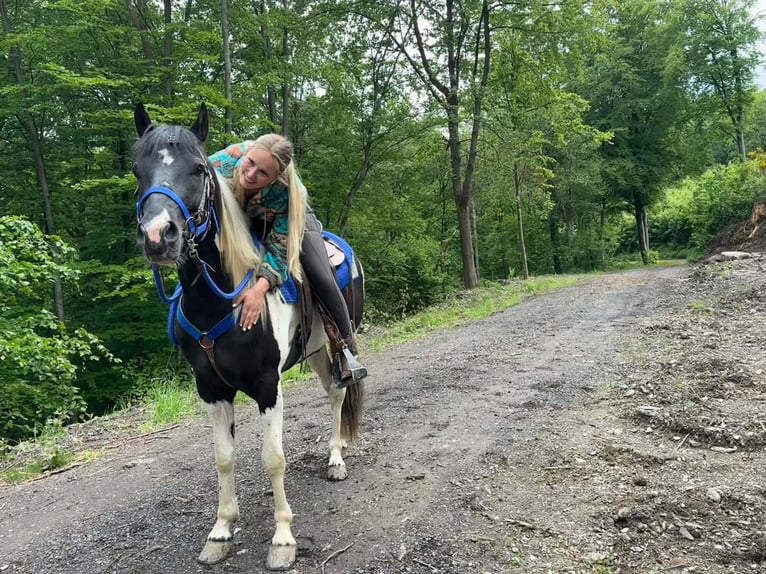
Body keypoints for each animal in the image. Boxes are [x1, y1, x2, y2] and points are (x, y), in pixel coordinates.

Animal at [132, 103, 365, 570]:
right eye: (136, 169)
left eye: (198, 168)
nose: (158, 236)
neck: (220, 301)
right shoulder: (211, 389)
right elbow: (224, 458)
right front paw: (221, 531)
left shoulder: (266, 385)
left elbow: (273, 459)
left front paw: (283, 539)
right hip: (314, 351)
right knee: (332, 391)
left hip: (335, 344)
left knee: (338, 393)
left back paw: (335, 460)